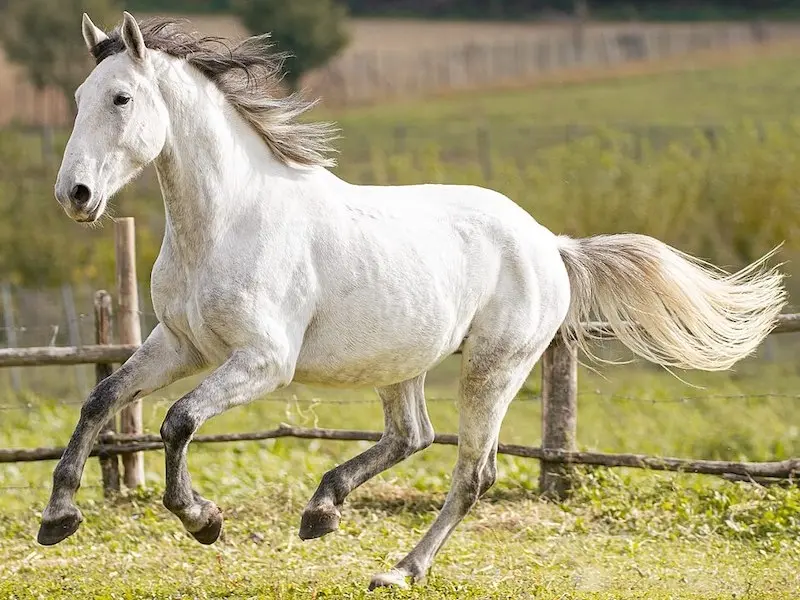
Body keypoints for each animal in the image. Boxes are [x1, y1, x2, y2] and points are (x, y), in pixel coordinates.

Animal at [40, 12, 784, 592]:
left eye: (121, 99)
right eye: (77, 96)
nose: (74, 196)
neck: (229, 220)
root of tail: (548, 242)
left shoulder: (263, 361)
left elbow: (177, 421)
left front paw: (203, 520)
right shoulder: (181, 343)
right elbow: (102, 401)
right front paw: (58, 518)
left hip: (492, 368)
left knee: (471, 471)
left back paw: (399, 569)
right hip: (401, 360)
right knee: (412, 435)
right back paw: (323, 510)